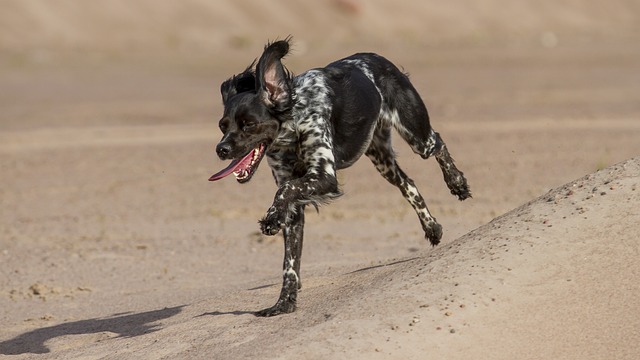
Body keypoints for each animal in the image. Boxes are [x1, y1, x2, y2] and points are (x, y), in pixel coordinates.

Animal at [210, 38, 470, 316]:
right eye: (223, 126)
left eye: (248, 124)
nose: (221, 149)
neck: (294, 121)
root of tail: (376, 57)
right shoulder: (295, 206)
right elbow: (290, 259)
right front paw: (284, 303)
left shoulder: (324, 175)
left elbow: (286, 190)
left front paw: (271, 219)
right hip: (380, 157)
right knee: (407, 184)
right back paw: (432, 228)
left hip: (416, 136)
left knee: (438, 143)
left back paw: (457, 184)